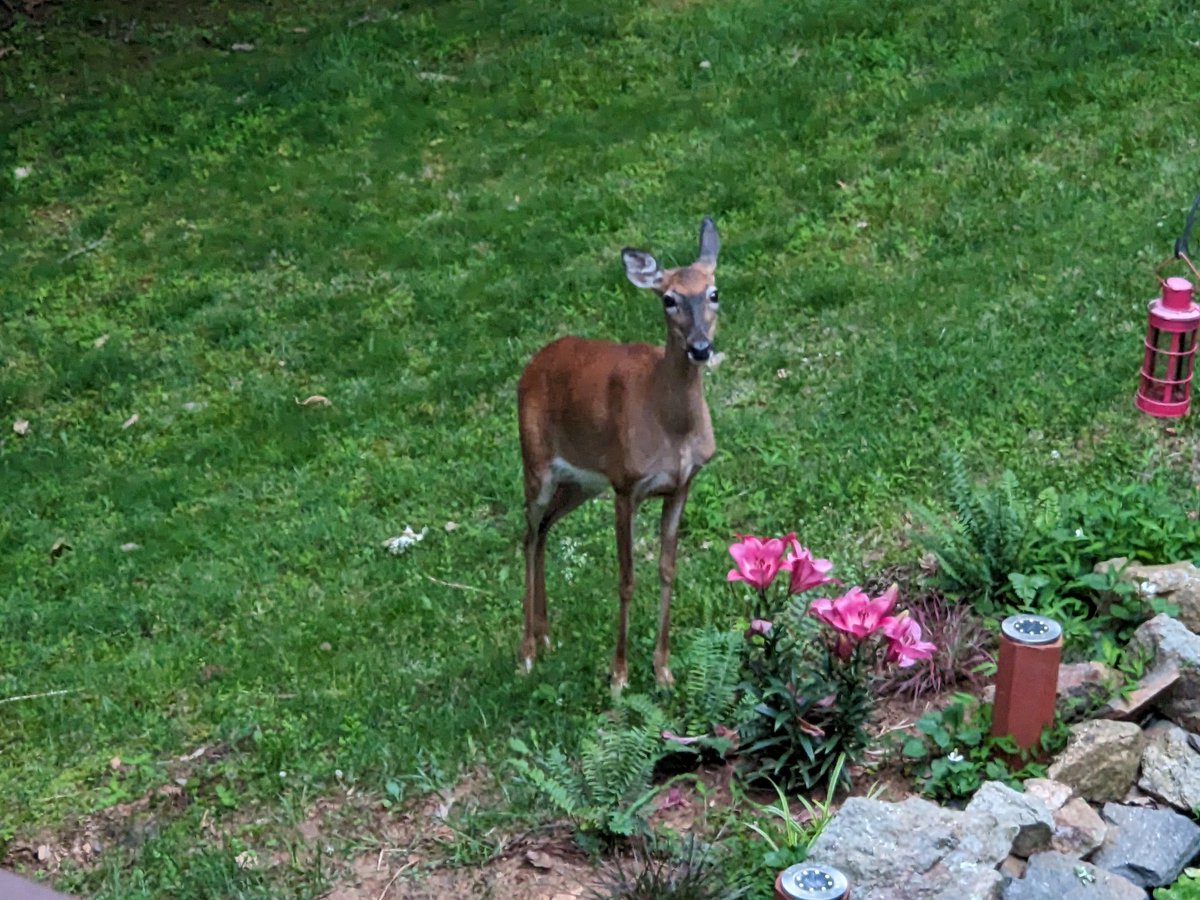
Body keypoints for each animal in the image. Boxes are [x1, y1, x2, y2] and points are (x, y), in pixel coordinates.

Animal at [518, 217, 720, 691]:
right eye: (668, 299)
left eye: (714, 292)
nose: (700, 347)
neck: (672, 428)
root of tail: (531, 365)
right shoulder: (626, 485)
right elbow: (626, 578)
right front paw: (619, 674)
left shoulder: (681, 484)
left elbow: (667, 569)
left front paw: (663, 670)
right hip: (535, 461)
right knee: (527, 533)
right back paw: (528, 651)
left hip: (581, 482)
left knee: (544, 530)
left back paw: (547, 635)